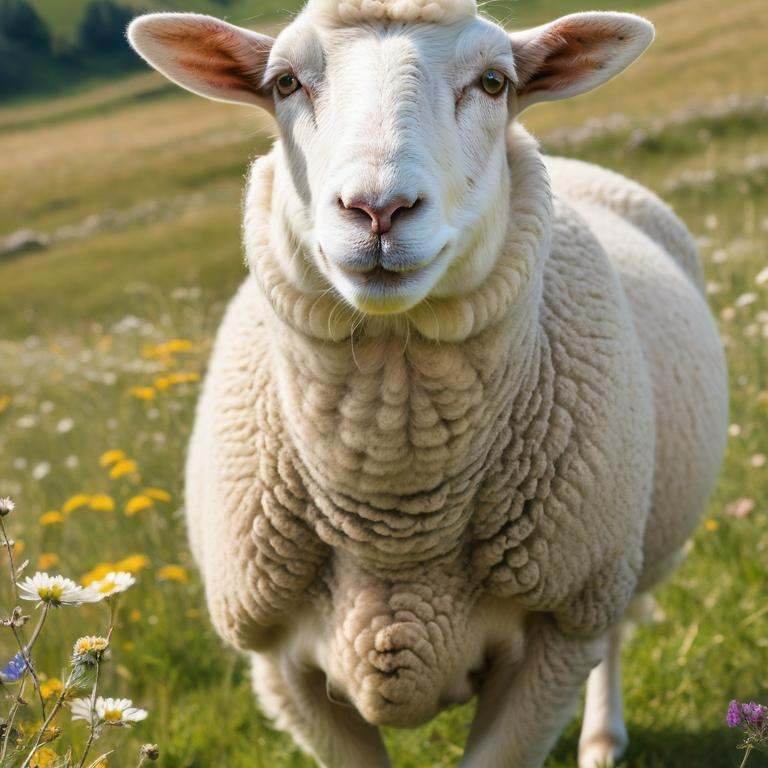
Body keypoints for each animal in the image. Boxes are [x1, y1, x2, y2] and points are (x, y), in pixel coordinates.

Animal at [128, 3, 729, 767]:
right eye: (286, 82)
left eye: (495, 82)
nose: (378, 210)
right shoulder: (276, 661)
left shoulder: (559, 631)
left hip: (615, 568)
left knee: (617, 637)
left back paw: (600, 738)